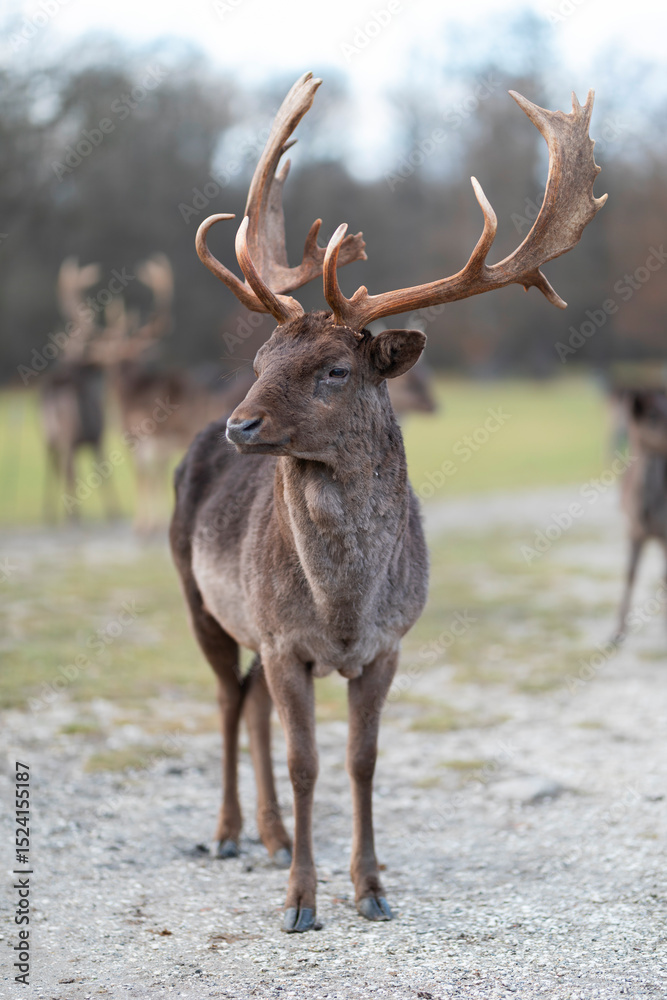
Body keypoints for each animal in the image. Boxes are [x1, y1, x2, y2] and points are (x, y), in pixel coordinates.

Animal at [169, 72, 605, 932]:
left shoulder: (389, 643)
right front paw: (300, 902)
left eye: (334, 370)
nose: (241, 424)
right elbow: (307, 762)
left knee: (248, 701)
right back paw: (232, 833)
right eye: (262, 358)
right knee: (228, 699)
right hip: (198, 595)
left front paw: (370, 888)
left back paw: (271, 836)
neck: (343, 609)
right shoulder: (284, 640)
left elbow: (363, 761)